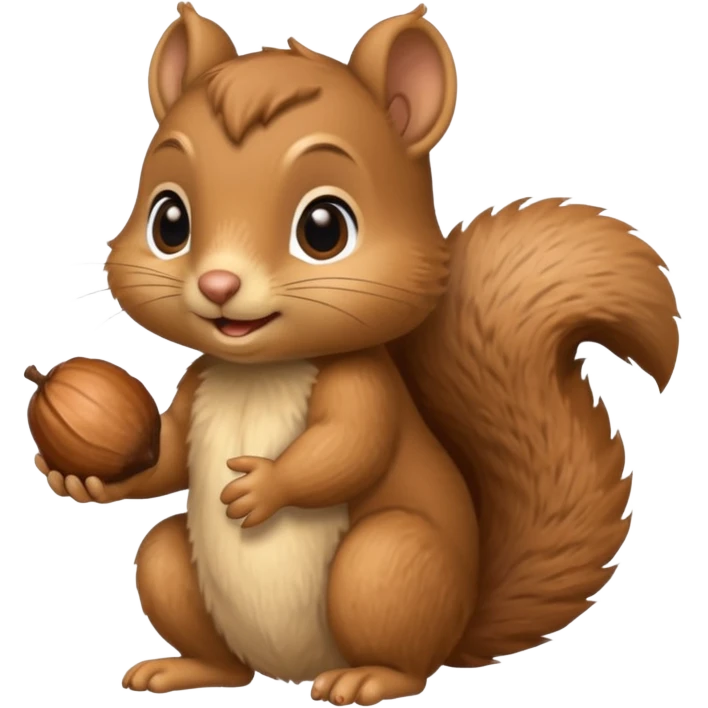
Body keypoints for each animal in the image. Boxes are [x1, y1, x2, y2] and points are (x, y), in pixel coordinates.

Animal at [33, 2, 680, 703]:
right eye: (168, 221)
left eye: (325, 228)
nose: (218, 286)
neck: (258, 371)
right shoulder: (198, 379)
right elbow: (171, 454)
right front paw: (88, 480)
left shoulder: (364, 384)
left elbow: (349, 447)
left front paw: (263, 485)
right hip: (176, 570)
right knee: (190, 604)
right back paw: (186, 669)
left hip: (386, 564)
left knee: (404, 650)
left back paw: (368, 678)